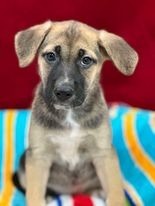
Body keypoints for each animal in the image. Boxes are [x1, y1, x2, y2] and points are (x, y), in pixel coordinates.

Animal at [13, 19, 139, 206]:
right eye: (51, 56)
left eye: (86, 60)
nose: (63, 92)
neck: (69, 114)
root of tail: (73, 192)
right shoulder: (38, 156)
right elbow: (34, 194)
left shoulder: (104, 153)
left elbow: (115, 191)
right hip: (24, 163)